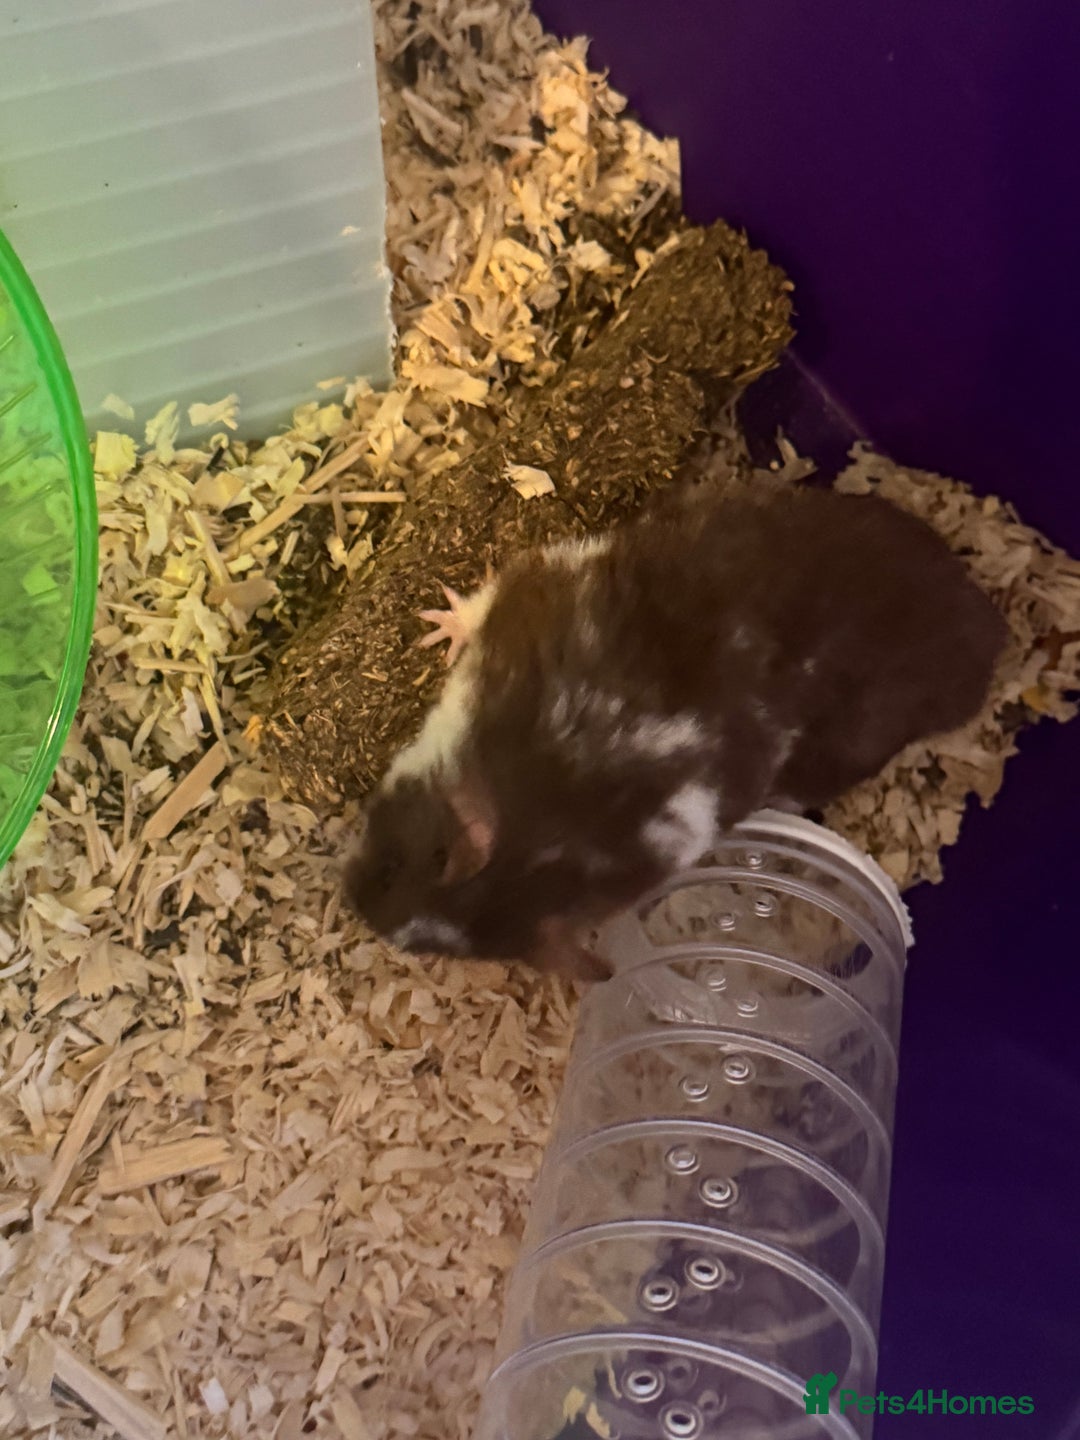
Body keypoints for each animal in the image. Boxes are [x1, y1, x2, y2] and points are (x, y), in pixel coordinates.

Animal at [343, 483, 1008, 981]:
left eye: (390, 867)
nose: (352, 902)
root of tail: (989, 636)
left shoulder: (531, 584)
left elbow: (483, 599)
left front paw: (436, 620)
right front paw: (436, 624)